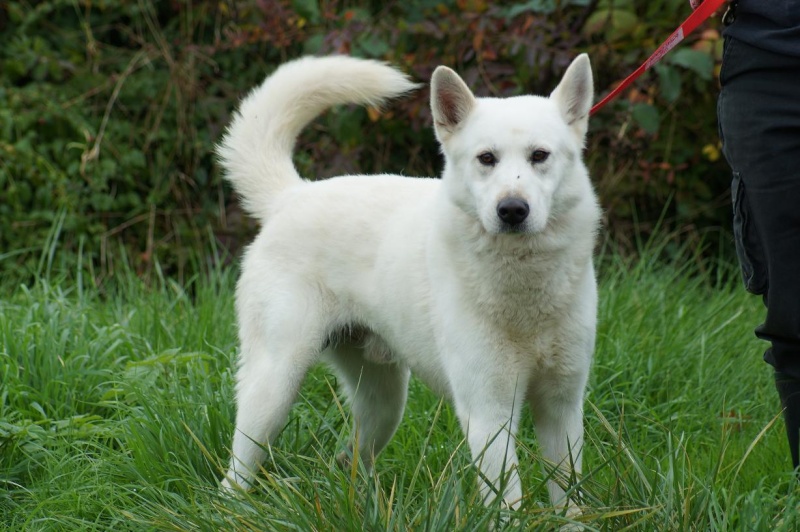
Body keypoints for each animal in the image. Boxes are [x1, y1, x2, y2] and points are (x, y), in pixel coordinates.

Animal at [216, 54, 596, 516]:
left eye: (540, 155)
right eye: (486, 158)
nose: (511, 210)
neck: (524, 287)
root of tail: (291, 196)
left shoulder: (562, 407)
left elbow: (571, 496)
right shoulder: (488, 411)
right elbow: (507, 501)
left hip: (384, 405)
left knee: (348, 460)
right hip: (273, 390)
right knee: (235, 474)